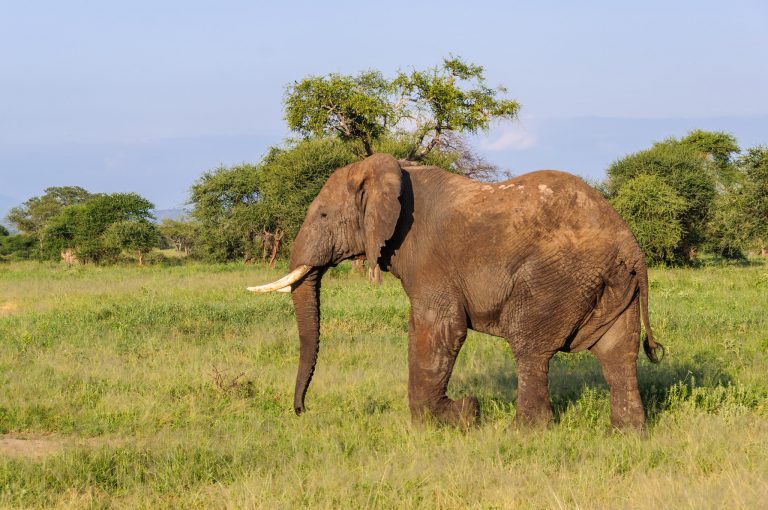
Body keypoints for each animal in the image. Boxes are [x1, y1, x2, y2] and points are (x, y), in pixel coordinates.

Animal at [249, 153, 664, 428]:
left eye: (322, 215)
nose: (302, 411)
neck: (392, 171)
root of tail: (630, 245)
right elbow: (422, 330)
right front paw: (455, 414)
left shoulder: (428, 257)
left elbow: (440, 329)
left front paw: (461, 414)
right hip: (614, 285)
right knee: (618, 353)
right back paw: (628, 434)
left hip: (558, 277)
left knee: (529, 345)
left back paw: (524, 433)